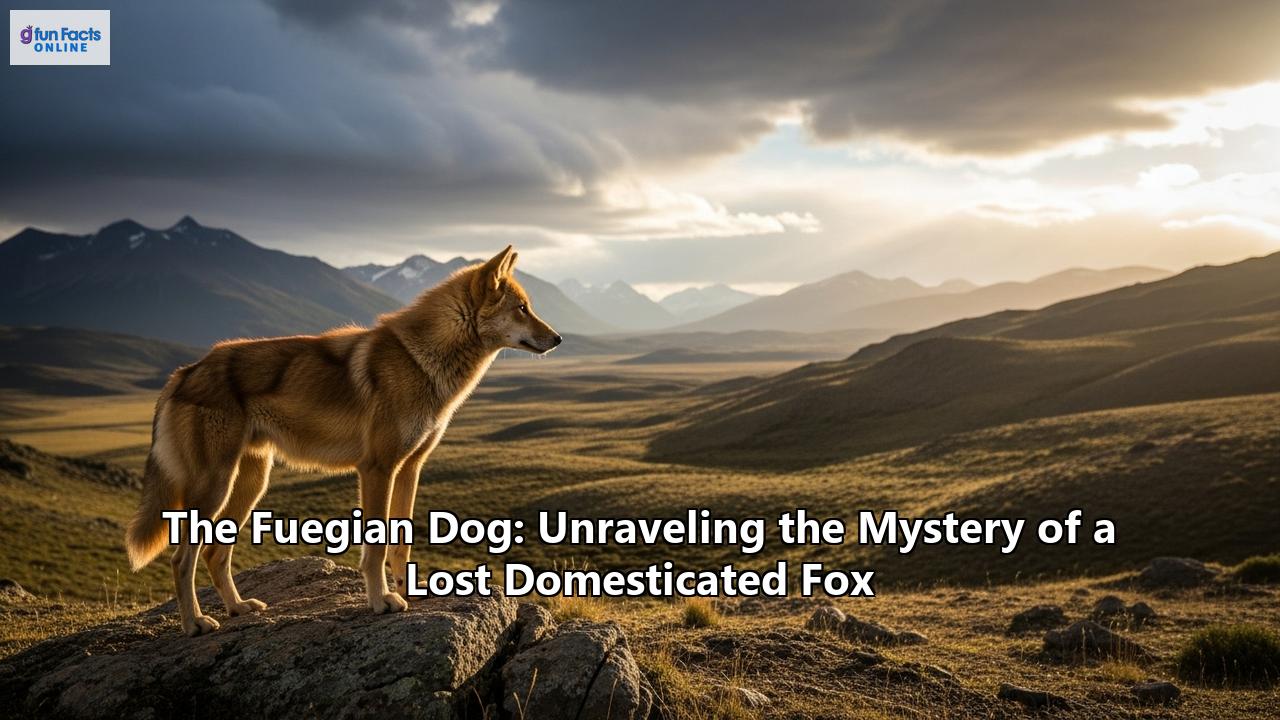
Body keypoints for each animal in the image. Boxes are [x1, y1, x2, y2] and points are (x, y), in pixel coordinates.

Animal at [124, 246, 560, 636]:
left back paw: (237, 607)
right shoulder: (377, 469)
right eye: (522, 308)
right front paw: (381, 601)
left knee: (215, 553)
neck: (422, 358)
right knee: (182, 559)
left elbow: (401, 544)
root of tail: (185, 371)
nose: (557, 338)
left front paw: (408, 594)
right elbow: (377, 548)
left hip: (249, 485)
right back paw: (194, 624)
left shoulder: (410, 469)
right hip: (215, 488)